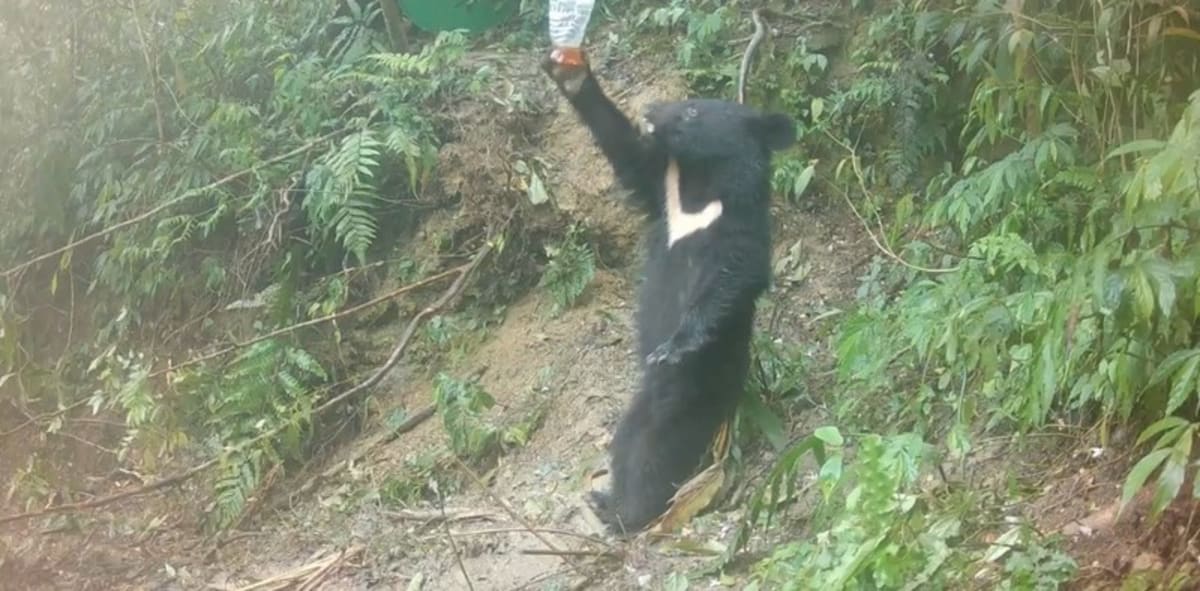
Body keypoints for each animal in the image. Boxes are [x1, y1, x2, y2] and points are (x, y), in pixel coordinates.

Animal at [541, 54, 796, 534]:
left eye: (693, 109)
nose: (652, 109)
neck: (701, 184)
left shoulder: (740, 227)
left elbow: (732, 277)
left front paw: (674, 344)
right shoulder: (659, 194)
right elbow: (626, 154)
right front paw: (571, 73)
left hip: (692, 386)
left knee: (658, 445)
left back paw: (632, 513)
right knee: (628, 438)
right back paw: (608, 502)